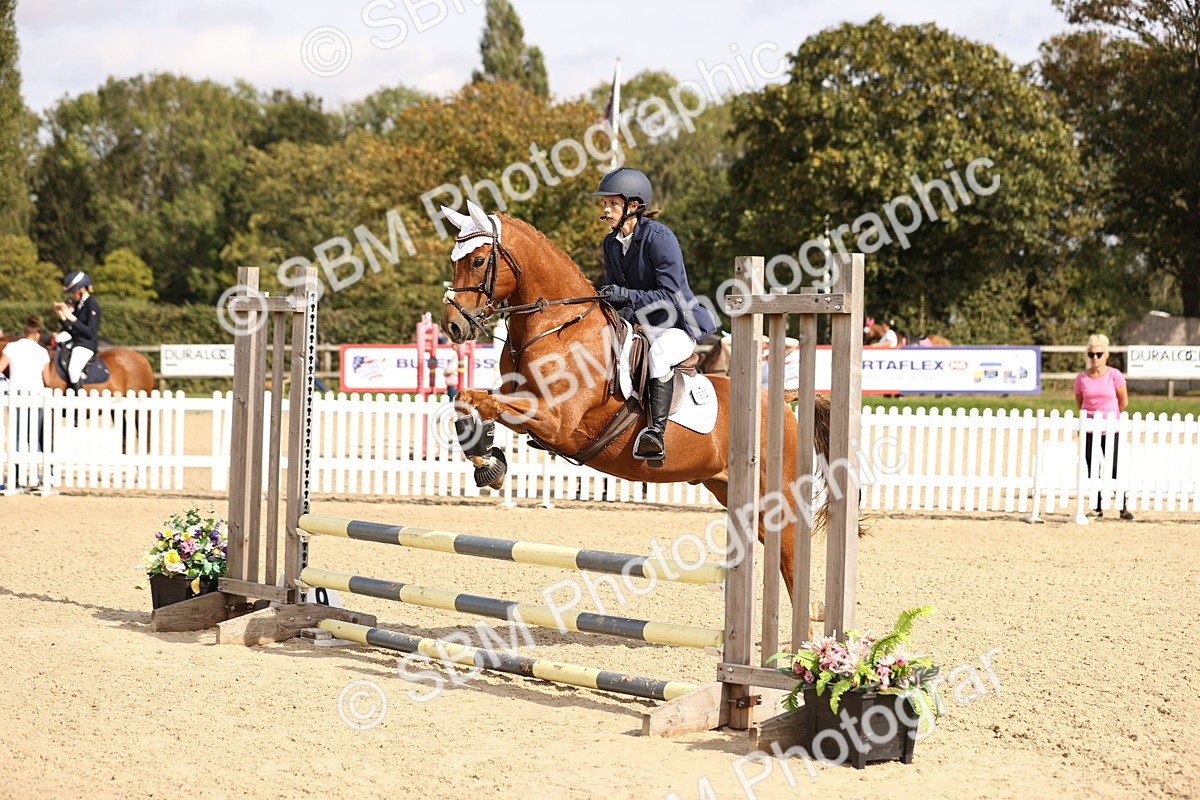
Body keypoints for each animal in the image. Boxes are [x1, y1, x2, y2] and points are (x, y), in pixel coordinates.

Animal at [438, 202, 836, 600]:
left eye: (477, 261)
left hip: (775, 494)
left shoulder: (556, 421)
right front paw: (487, 459)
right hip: (730, 490)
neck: (559, 324)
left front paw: (487, 459)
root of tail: (781, 400)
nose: (452, 326)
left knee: (790, 557)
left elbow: (489, 404)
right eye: (454, 261)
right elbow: (469, 398)